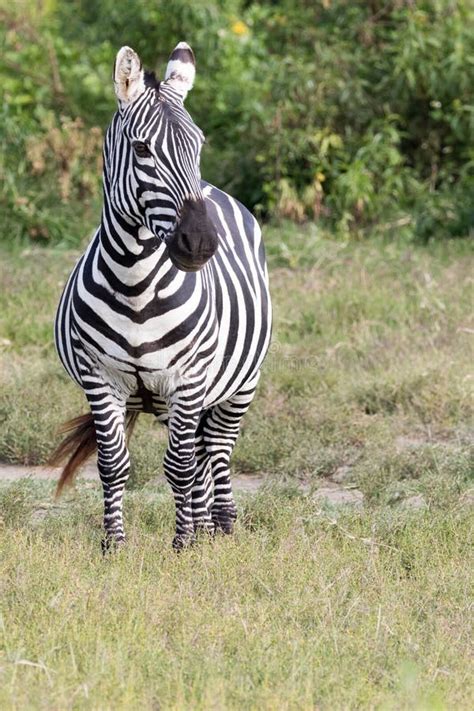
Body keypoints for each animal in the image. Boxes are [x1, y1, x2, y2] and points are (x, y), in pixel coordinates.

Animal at [50, 42, 272, 550]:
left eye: (199, 144)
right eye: (142, 149)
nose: (201, 244)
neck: (135, 284)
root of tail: (213, 189)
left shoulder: (187, 379)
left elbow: (179, 468)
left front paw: (183, 545)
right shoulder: (100, 378)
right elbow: (114, 465)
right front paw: (114, 546)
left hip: (239, 383)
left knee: (215, 450)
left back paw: (220, 525)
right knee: (202, 453)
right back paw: (206, 526)